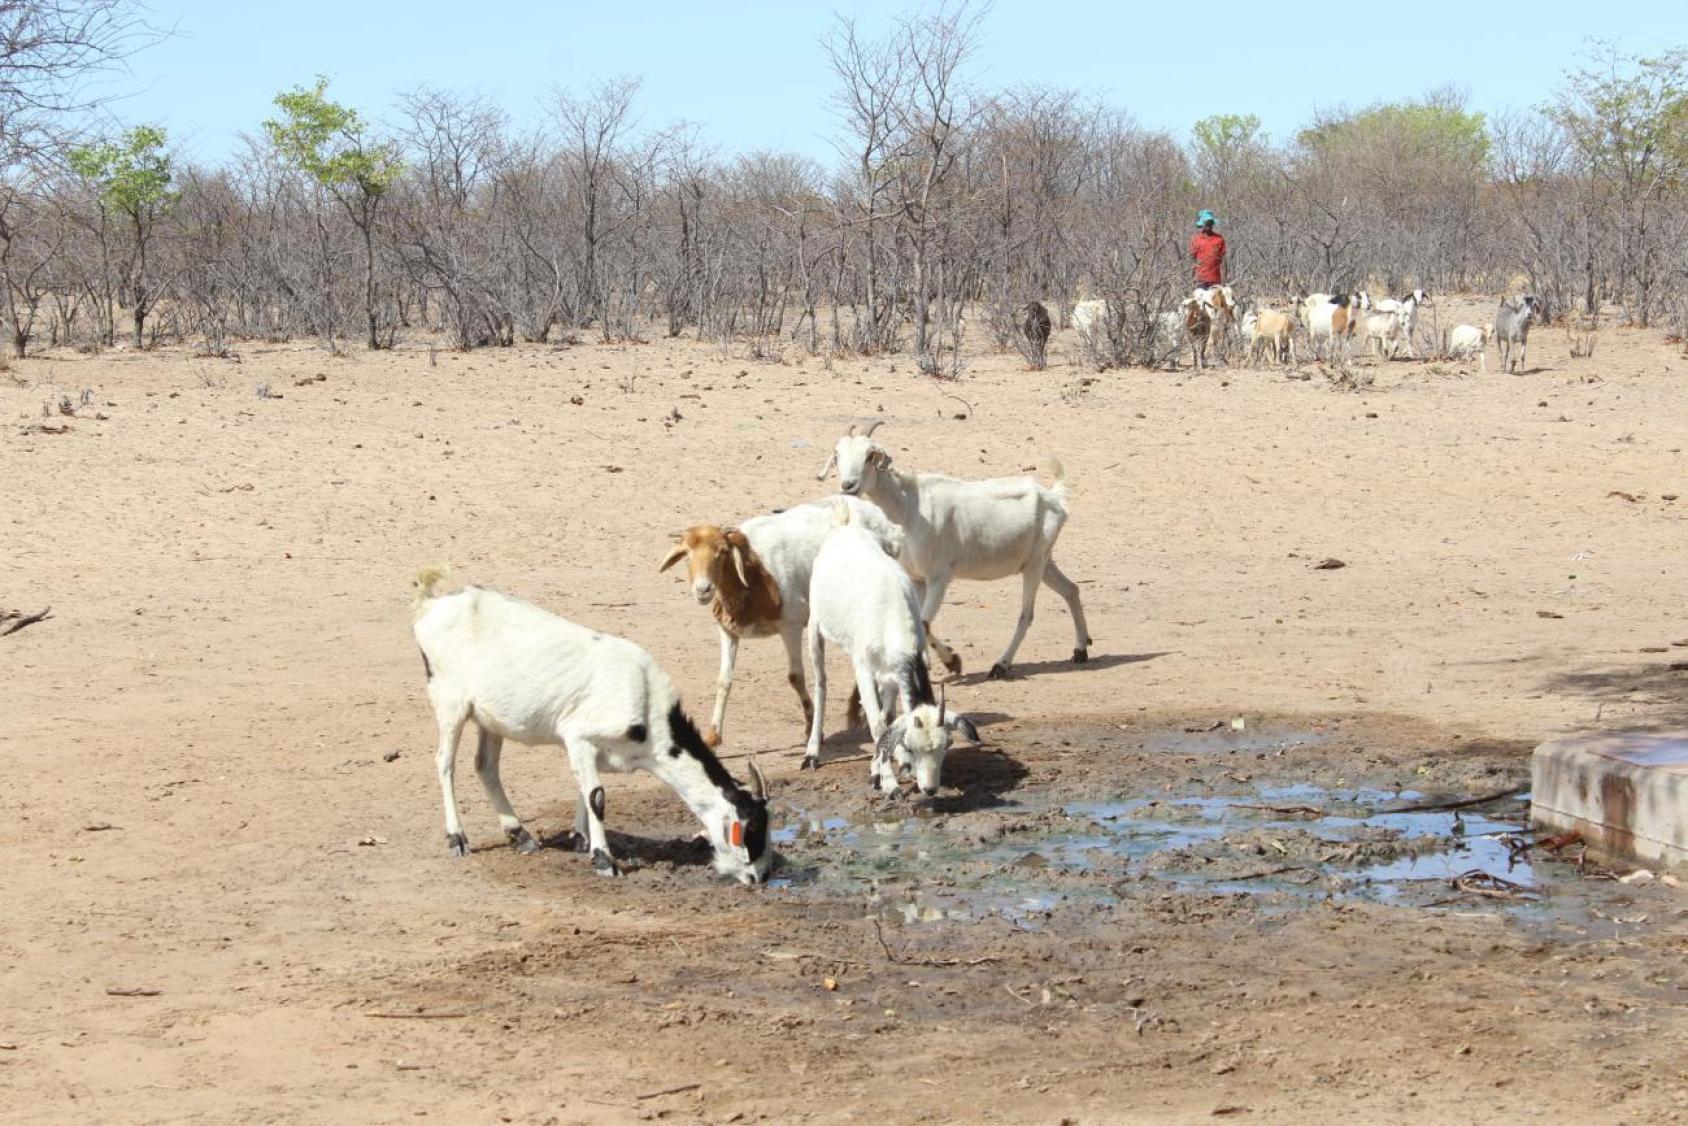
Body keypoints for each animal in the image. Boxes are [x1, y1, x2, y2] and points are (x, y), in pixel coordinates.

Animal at [411, 567, 773, 884]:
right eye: (749, 827)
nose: (760, 876)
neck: (645, 700)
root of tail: (430, 607)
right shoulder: (579, 736)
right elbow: (597, 796)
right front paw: (604, 860)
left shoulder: (598, 749)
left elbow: (584, 789)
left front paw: (580, 839)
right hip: (449, 700)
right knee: (444, 762)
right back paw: (457, 838)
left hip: (490, 718)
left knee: (485, 765)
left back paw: (520, 834)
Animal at [658, 499, 904, 749]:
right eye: (687, 554)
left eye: (722, 552)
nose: (703, 590)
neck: (751, 571)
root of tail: (885, 522)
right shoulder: (728, 630)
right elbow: (723, 680)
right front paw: (713, 734)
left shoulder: (790, 625)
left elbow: (795, 677)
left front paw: (810, 727)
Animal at [800, 509, 979, 793]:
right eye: (913, 747)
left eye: (946, 746)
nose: (929, 789)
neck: (891, 615)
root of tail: (844, 526)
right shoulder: (863, 667)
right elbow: (877, 723)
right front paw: (888, 781)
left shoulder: (894, 672)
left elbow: (889, 717)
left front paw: (882, 768)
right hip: (815, 628)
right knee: (821, 684)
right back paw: (812, 753)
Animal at [816, 422, 1093, 682]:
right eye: (837, 455)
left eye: (870, 455)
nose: (848, 486)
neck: (910, 507)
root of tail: (1055, 498)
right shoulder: (918, 579)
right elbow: (917, 623)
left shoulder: (940, 576)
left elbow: (925, 622)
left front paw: (953, 662)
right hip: (1042, 562)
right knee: (1071, 589)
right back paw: (1081, 649)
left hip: (1035, 565)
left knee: (1027, 614)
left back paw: (1000, 666)